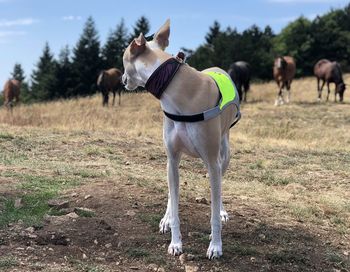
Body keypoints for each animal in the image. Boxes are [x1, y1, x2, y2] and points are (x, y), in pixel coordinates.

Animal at [121, 19, 239, 260]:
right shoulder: (172, 158)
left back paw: (222, 210)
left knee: (220, 181)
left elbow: (213, 211)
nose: (121, 79)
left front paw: (216, 245)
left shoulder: (212, 162)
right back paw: (166, 217)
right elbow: (175, 204)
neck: (176, 90)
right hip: (172, 164)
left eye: (122, 56)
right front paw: (175, 241)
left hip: (224, 152)